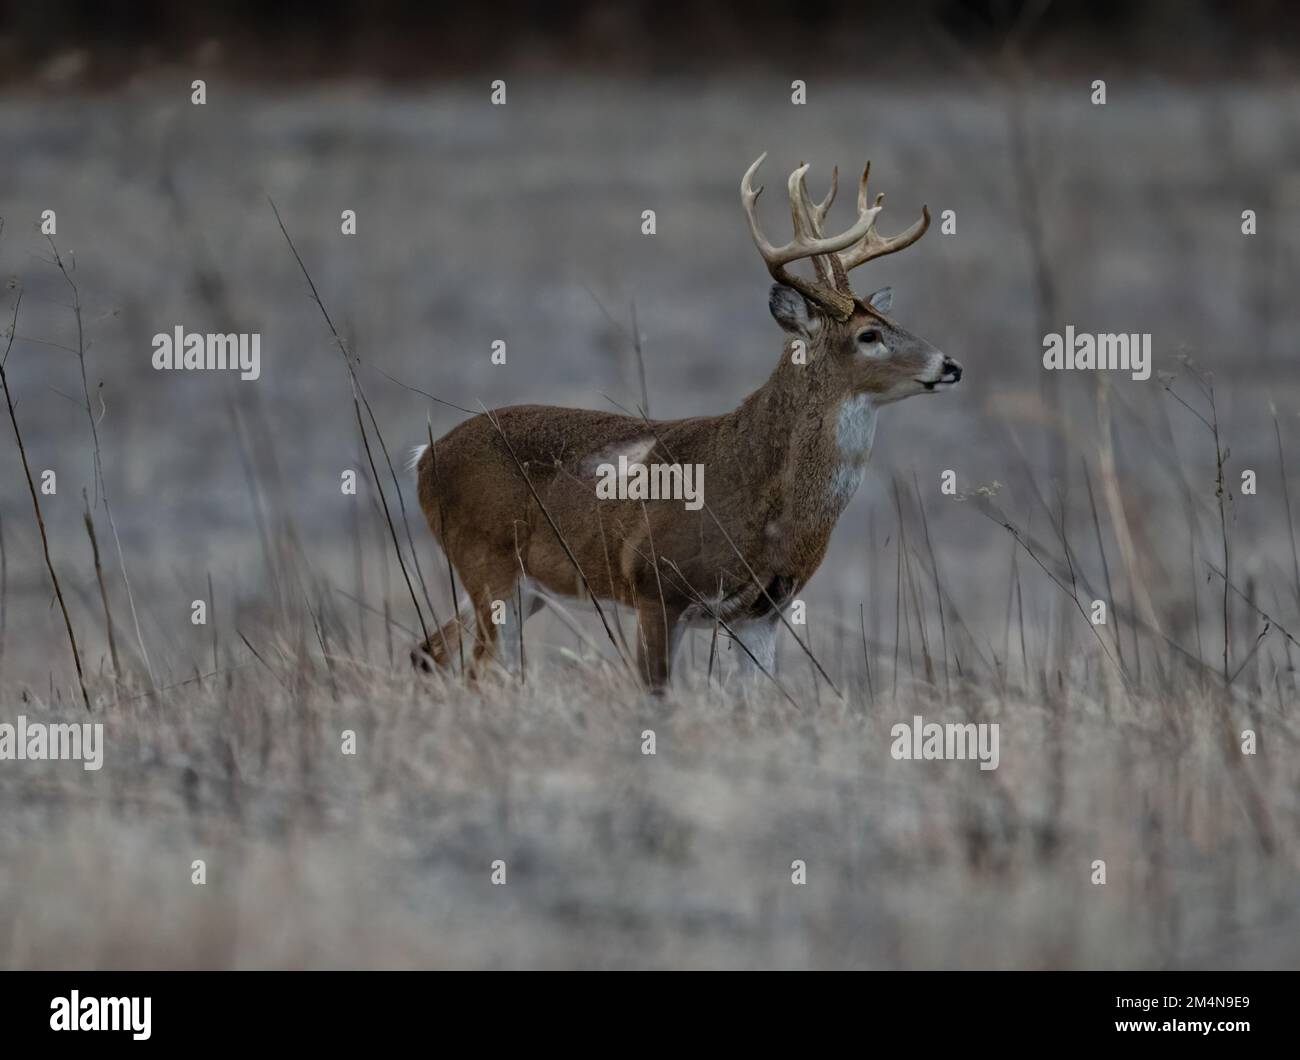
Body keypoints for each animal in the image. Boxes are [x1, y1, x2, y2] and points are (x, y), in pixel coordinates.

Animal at [410, 153, 961, 691]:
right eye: (869, 335)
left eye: (894, 322)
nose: (950, 365)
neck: (764, 501)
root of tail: (423, 457)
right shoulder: (655, 587)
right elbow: (655, 692)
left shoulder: (763, 614)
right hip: (488, 562)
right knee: (480, 670)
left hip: (527, 587)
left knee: (430, 650)